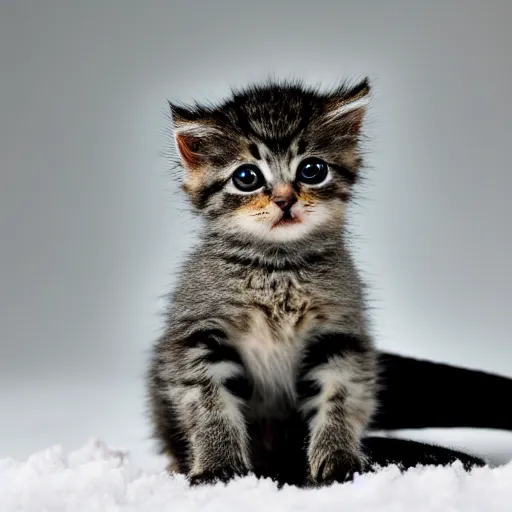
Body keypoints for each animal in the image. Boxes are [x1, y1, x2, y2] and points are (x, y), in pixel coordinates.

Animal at [146, 78, 378, 486]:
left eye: (312, 170)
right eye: (247, 177)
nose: (285, 200)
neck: (277, 269)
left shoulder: (340, 333)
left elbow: (340, 397)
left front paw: (338, 457)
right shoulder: (197, 334)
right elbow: (209, 403)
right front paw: (218, 465)